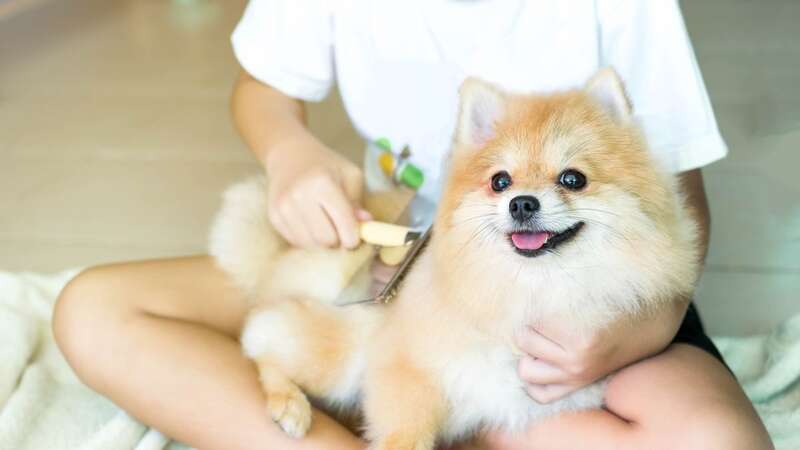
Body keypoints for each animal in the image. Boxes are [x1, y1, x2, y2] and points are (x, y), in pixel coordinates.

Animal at [208, 67, 700, 450]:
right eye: (500, 181)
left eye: (573, 179)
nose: (522, 202)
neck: (528, 289)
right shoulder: (403, 366)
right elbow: (405, 431)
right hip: (340, 348)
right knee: (261, 338)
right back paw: (289, 404)